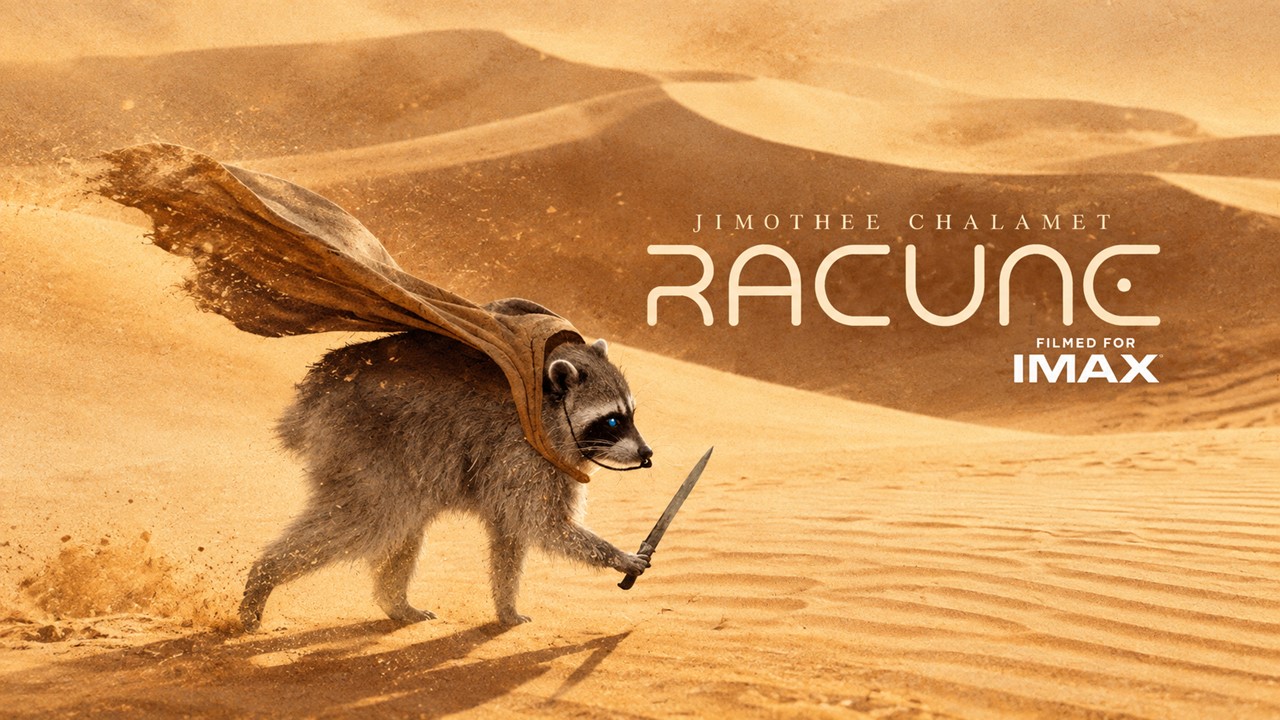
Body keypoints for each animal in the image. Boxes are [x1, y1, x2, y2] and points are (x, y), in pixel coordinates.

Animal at [238, 331, 654, 631]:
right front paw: (617, 556)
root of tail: (318, 390)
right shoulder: (524, 458)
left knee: (404, 527)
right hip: (363, 441)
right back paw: (265, 574)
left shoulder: (520, 471)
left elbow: (510, 535)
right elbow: (544, 525)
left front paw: (506, 606)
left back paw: (394, 601)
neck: (546, 416)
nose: (647, 453)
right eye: (612, 420)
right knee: (367, 522)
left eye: (631, 414)